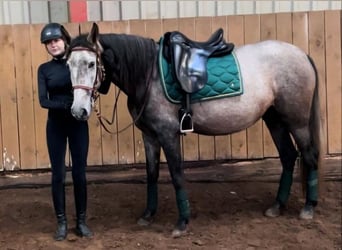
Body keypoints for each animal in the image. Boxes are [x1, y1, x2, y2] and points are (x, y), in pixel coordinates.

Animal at [66, 22, 320, 237]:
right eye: (68, 64)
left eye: (91, 63)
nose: (78, 111)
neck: (148, 75)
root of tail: (302, 54)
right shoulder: (149, 136)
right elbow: (152, 174)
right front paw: (148, 215)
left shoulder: (168, 135)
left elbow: (177, 175)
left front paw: (182, 223)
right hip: (274, 119)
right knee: (288, 156)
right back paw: (277, 206)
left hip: (296, 121)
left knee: (308, 156)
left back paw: (308, 208)